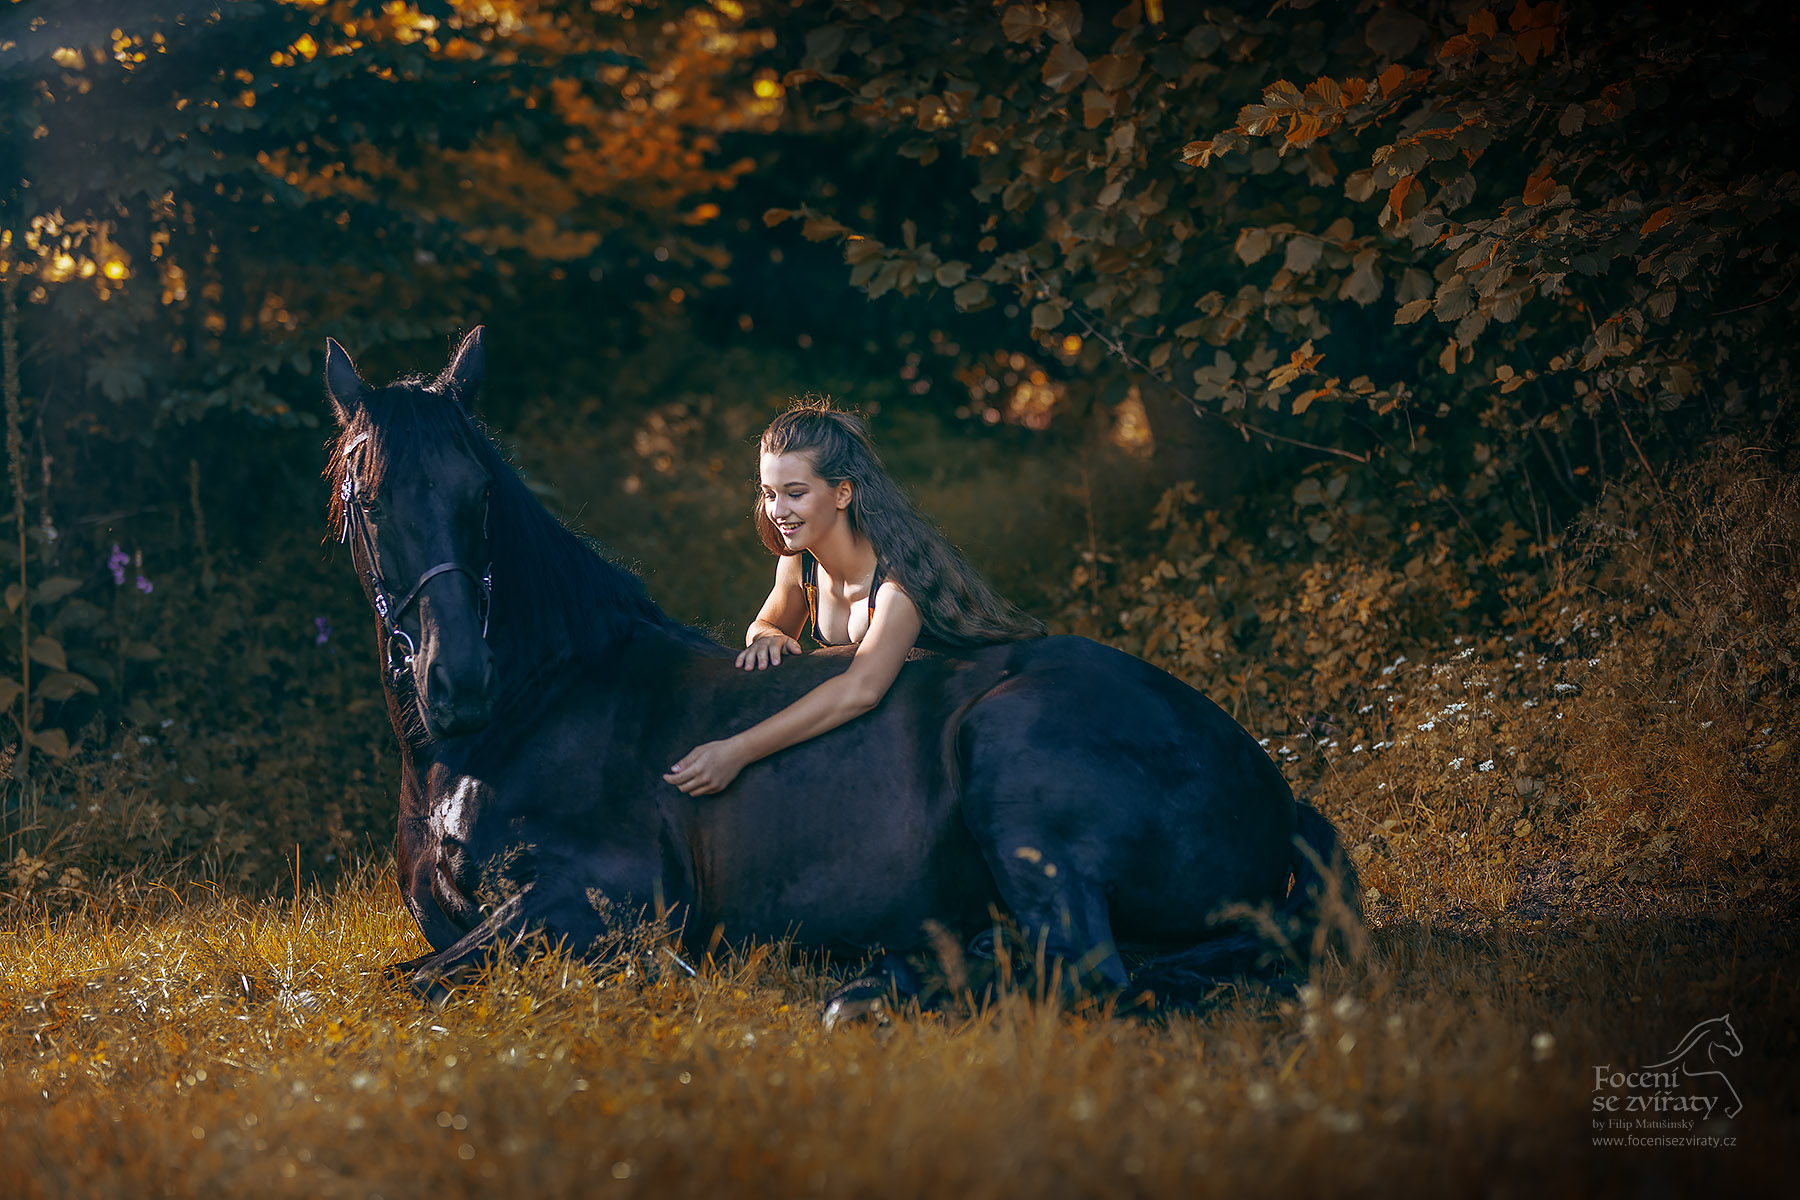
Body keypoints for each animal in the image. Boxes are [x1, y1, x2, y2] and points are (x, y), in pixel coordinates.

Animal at [324, 332, 1353, 1021]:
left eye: (481, 495)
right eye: (368, 502)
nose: (458, 683)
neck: (518, 723)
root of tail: (1270, 787)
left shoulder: (606, 895)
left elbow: (405, 985)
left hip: (1015, 763)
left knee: (1092, 973)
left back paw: (876, 990)